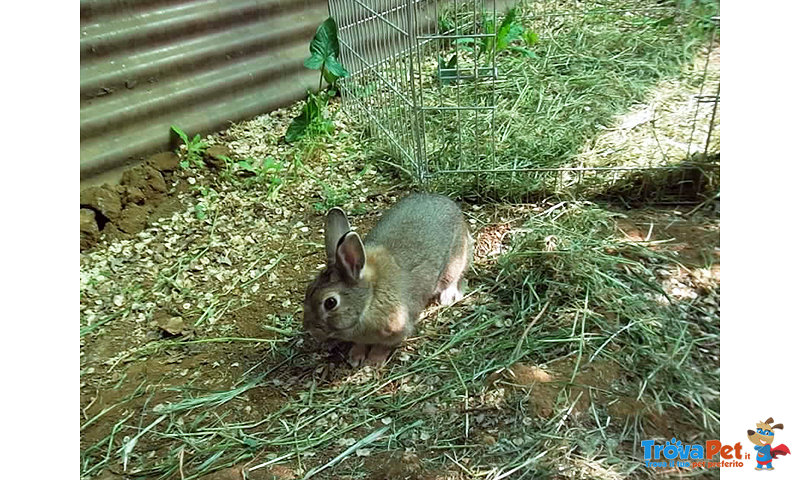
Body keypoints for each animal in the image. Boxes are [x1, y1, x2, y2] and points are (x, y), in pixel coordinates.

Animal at [304, 193, 472, 366]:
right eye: (308, 289)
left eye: (330, 302)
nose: (310, 330)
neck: (370, 297)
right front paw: (356, 357)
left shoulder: (398, 330)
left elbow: (383, 346)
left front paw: (373, 362)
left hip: (455, 260)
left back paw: (448, 297)